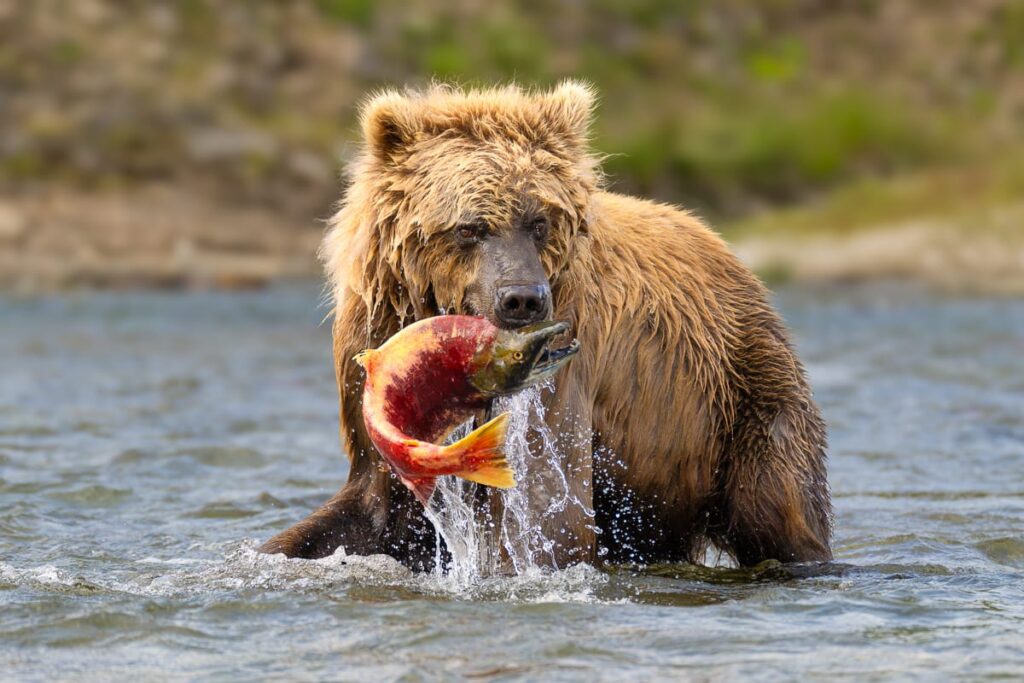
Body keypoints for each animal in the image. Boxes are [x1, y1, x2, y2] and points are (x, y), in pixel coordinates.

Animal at [260, 81, 832, 570]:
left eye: (539, 221)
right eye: (469, 227)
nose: (523, 300)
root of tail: (725, 249)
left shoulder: (566, 368)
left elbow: (549, 509)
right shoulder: (374, 352)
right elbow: (367, 507)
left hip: (737, 394)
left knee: (776, 498)